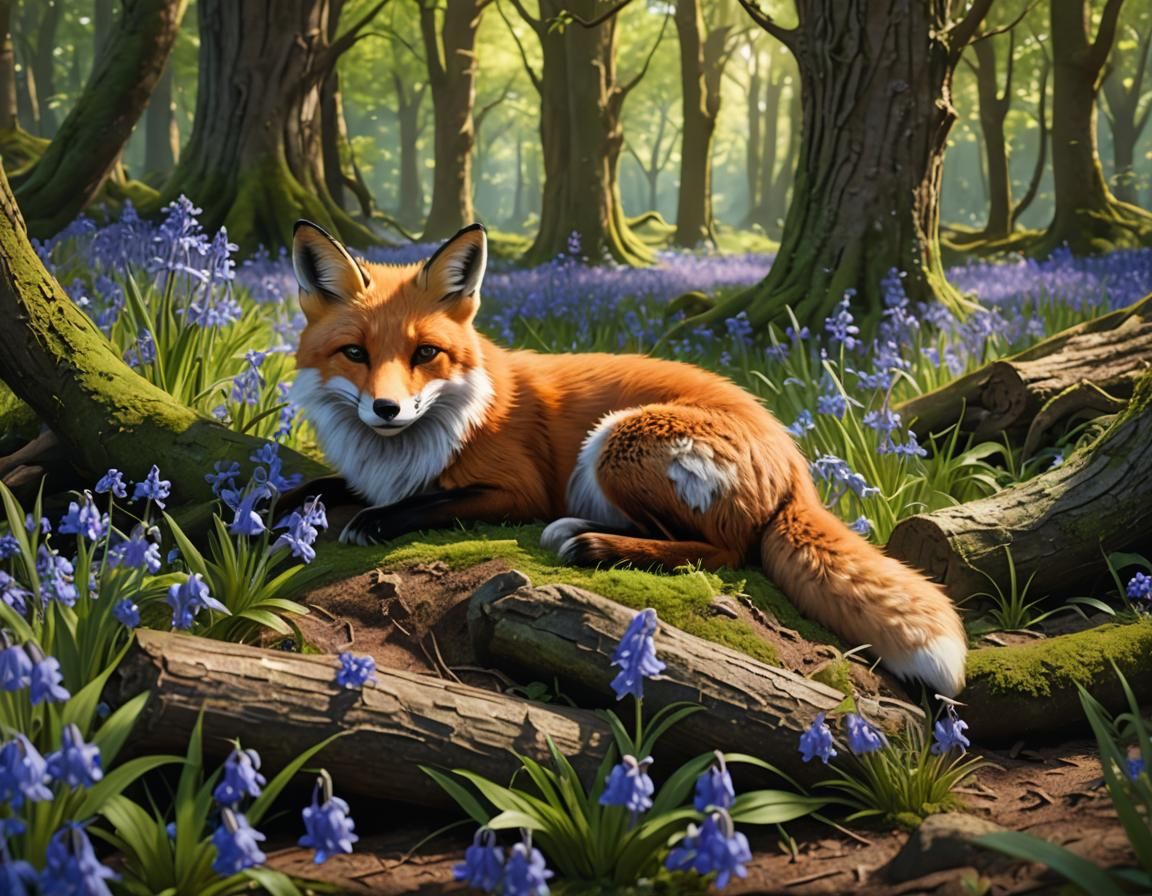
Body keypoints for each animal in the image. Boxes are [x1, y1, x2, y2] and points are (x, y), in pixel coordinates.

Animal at [289, 220, 968, 697]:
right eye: (354, 353)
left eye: (425, 353)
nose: (386, 409)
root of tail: (796, 460)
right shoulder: (365, 474)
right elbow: (313, 488)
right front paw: (282, 505)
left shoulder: (515, 490)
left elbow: (424, 504)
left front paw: (374, 521)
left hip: (620, 439)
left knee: (722, 551)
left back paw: (595, 546)